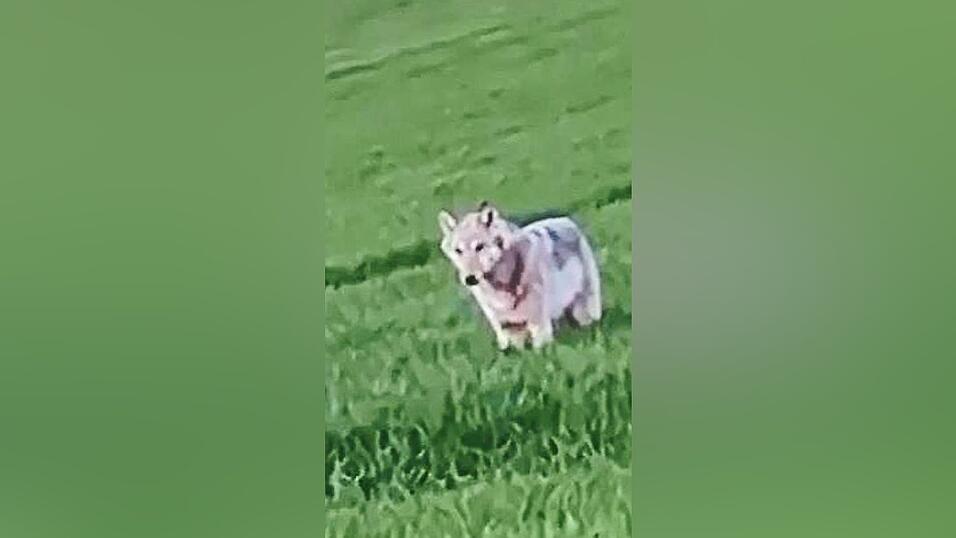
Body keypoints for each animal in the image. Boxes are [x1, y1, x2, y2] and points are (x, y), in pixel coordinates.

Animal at [438, 201, 602, 350]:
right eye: (458, 250)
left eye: (479, 247)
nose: (469, 279)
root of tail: (565, 219)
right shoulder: (507, 327)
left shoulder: (538, 324)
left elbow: (539, 352)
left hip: (585, 308)